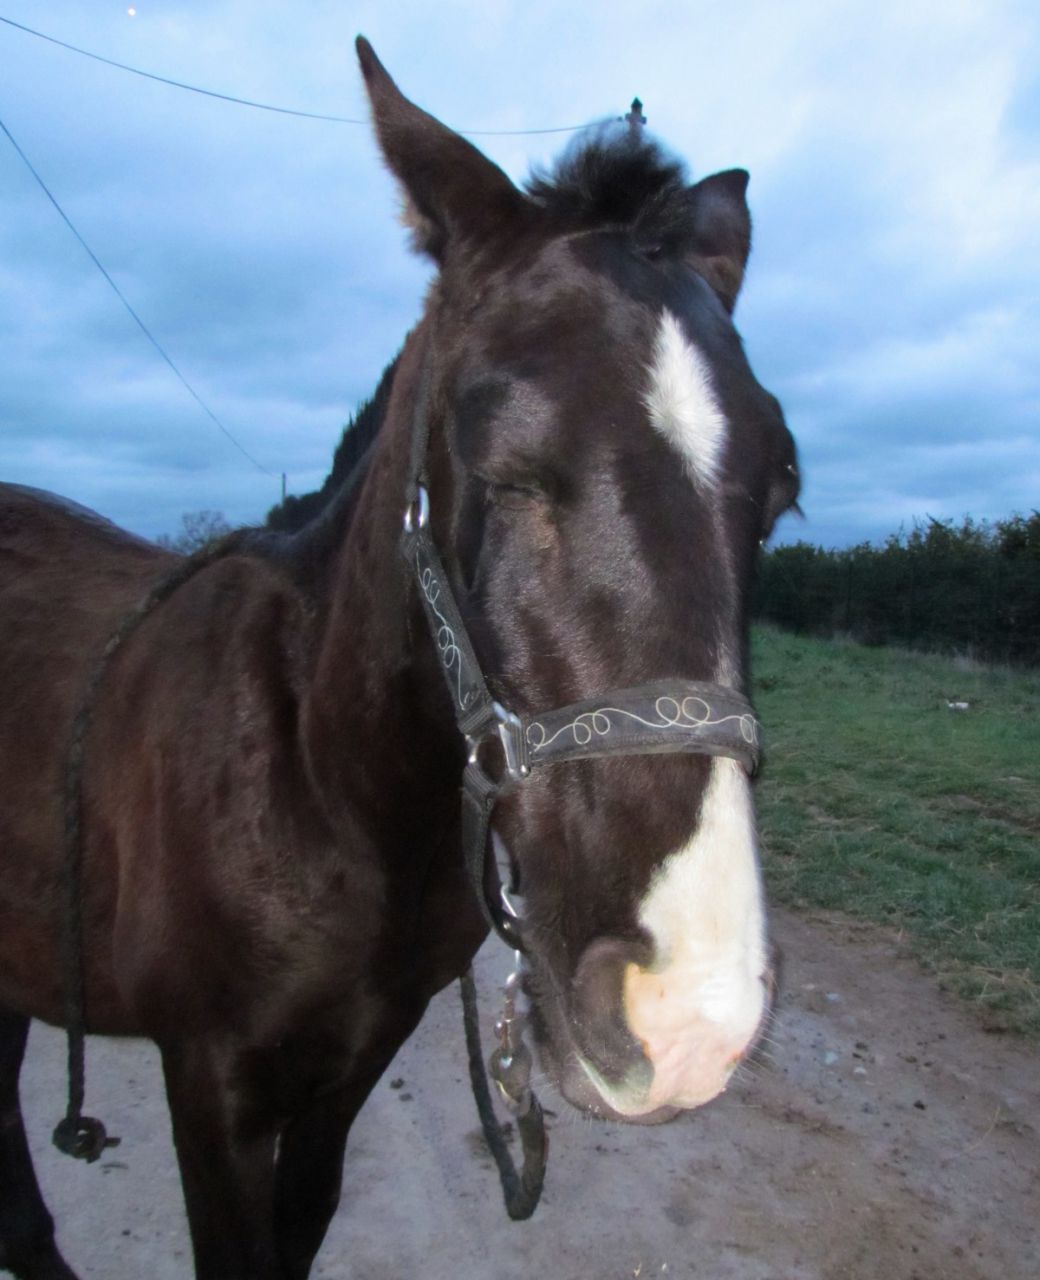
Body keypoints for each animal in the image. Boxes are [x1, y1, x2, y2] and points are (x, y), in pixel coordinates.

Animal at [0, 36, 799, 1280]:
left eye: (777, 493)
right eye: (507, 467)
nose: (684, 1017)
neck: (322, 783)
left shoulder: (352, 1068)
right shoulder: (211, 1085)